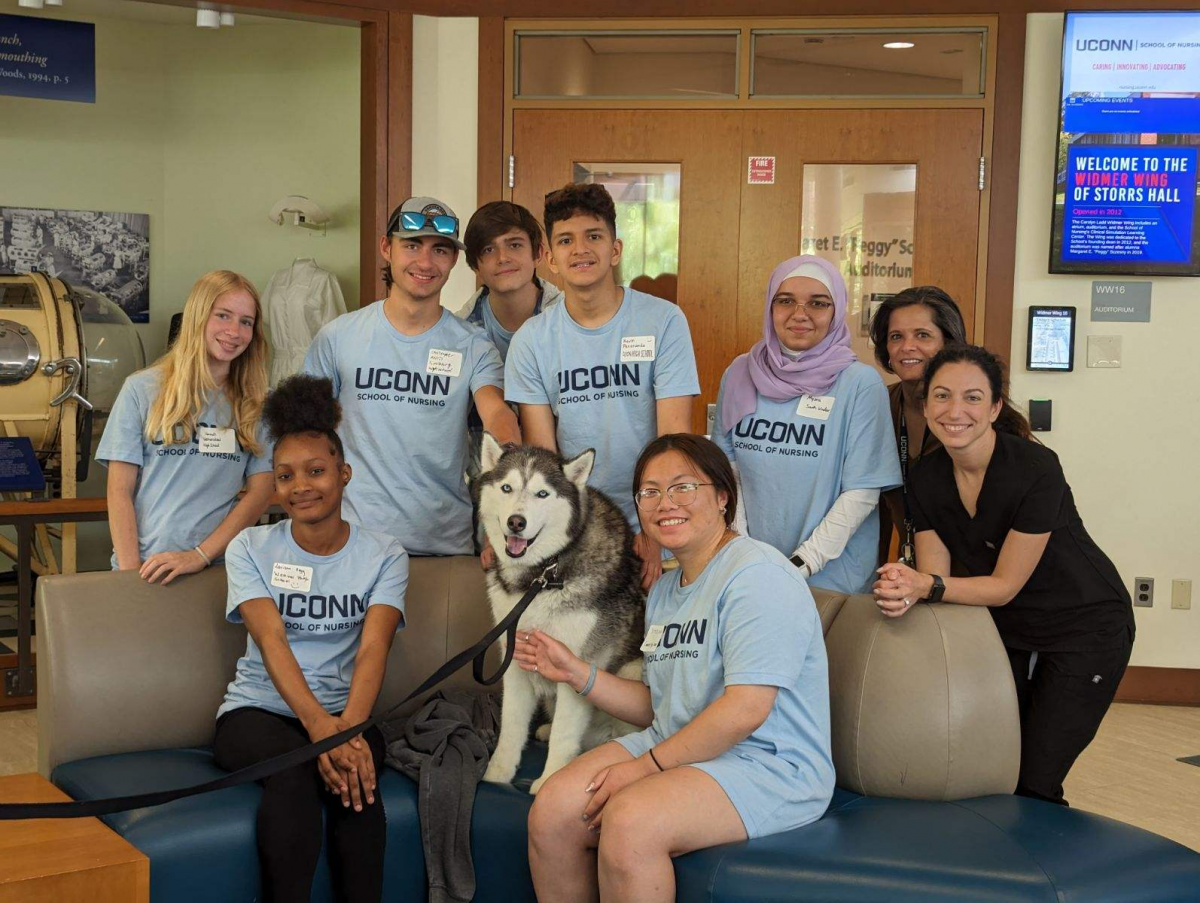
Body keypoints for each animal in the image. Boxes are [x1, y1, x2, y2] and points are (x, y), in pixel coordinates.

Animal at [477, 434, 648, 792]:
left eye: (542, 493)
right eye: (506, 488)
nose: (516, 522)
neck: (542, 576)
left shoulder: (575, 668)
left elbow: (564, 734)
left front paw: (550, 780)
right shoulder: (514, 662)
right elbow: (510, 730)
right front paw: (496, 776)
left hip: (630, 672)